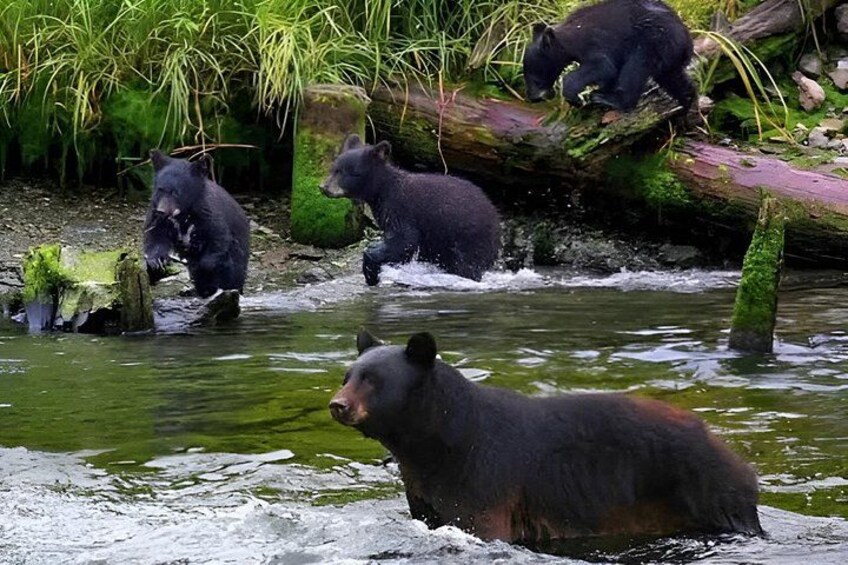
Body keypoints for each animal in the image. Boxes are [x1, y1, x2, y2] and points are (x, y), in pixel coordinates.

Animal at [143, 151, 250, 298]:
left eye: (176, 192)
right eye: (160, 189)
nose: (161, 211)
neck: (182, 213)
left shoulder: (208, 214)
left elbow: (218, 238)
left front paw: (202, 265)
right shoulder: (157, 215)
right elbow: (154, 235)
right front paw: (155, 262)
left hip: (239, 253)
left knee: (232, 271)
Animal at [320, 134, 500, 286]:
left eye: (348, 172)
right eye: (334, 168)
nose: (324, 187)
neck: (382, 190)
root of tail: (494, 212)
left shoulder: (400, 209)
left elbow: (405, 240)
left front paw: (371, 271)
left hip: (470, 237)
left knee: (467, 264)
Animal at [329, 329, 763, 547]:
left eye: (373, 380)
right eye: (348, 375)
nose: (337, 405)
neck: (435, 444)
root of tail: (735, 457)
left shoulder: (483, 480)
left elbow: (482, 523)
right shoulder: (424, 489)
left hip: (707, 492)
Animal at [523, 0, 695, 113]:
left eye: (535, 79)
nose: (532, 97)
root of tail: (687, 41)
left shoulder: (593, 42)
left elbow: (603, 66)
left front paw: (575, 98)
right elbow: (610, 72)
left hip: (653, 41)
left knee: (635, 68)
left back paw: (610, 100)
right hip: (669, 56)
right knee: (675, 79)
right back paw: (688, 104)